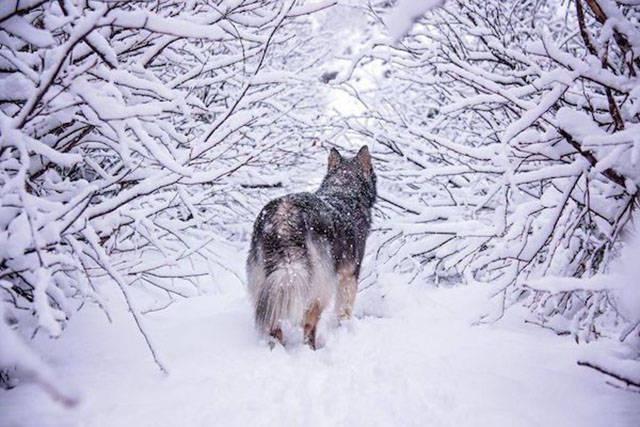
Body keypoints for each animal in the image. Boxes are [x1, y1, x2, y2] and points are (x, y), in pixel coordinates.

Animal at [245, 145, 376, 350]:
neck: (345, 190)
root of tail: (283, 219)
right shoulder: (349, 276)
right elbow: (344, 310)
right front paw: (345, 328)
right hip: (320, 286)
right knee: (308, 323)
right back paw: (310, 349)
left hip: (268, 283)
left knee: (274, 324)